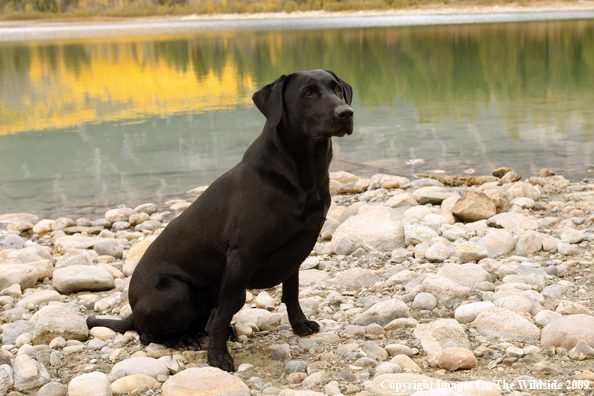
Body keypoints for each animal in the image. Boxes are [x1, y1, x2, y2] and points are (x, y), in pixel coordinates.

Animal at [88, 69, 352, 372]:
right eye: (307, 93)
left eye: (337, 89)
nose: (346, 113)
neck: (302, 174)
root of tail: (132, 311)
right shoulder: (241, 256)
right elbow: (224, 311)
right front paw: (218, 357)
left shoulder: (296, 250)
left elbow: (292, 293)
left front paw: (300, 325)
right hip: (176, 292)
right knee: (148, 334)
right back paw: (183, 339)